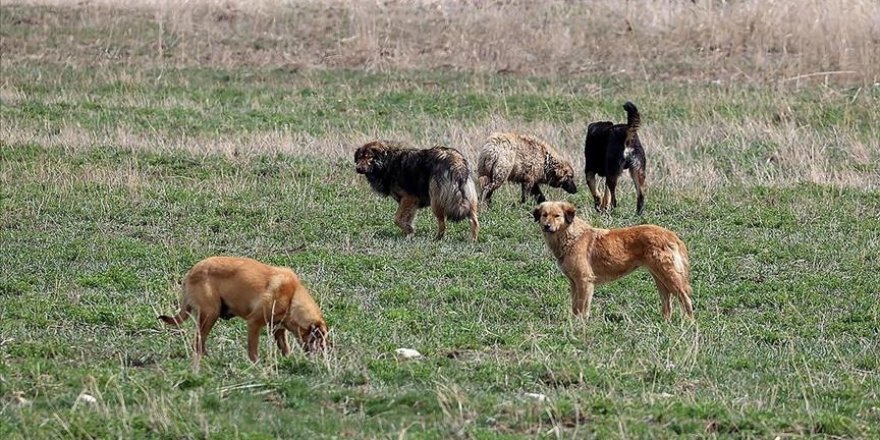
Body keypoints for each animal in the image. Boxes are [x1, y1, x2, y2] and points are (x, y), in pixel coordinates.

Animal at [157, 256, 326, 362]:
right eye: (320, 338)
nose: (326, 354)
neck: (292, 296)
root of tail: (190, 273)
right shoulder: (254, 323)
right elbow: (253, 350)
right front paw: (256, 365)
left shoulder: (278, 328)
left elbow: (285, 348)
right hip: (211, 313)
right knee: (198, 341)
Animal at [352, 140, 482, 241]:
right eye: (359, 157)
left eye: (369, 157)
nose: (358, 168)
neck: (388, 161)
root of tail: (456, 161)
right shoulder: (412, 203)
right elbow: (406, 219)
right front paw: (409, 234)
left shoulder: (409, 198)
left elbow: (397, 219)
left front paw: (409, 231)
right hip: (468, 200)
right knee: (474, 221)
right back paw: (472, 240)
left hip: (436, 202)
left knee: (442, 224)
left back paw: (437, 239)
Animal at [528, 201, 696, 318]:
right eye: (544, 215)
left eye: (557, 216)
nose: (546, 226)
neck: (571, 236)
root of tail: (672, 235)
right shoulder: (574, 282)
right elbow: (575, 307)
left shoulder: (584, 281)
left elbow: (582, 308)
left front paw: (580, 326)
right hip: (660, 278)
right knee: (668, 304)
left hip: (669, 276)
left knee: (686, 299)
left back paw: (688, 324)